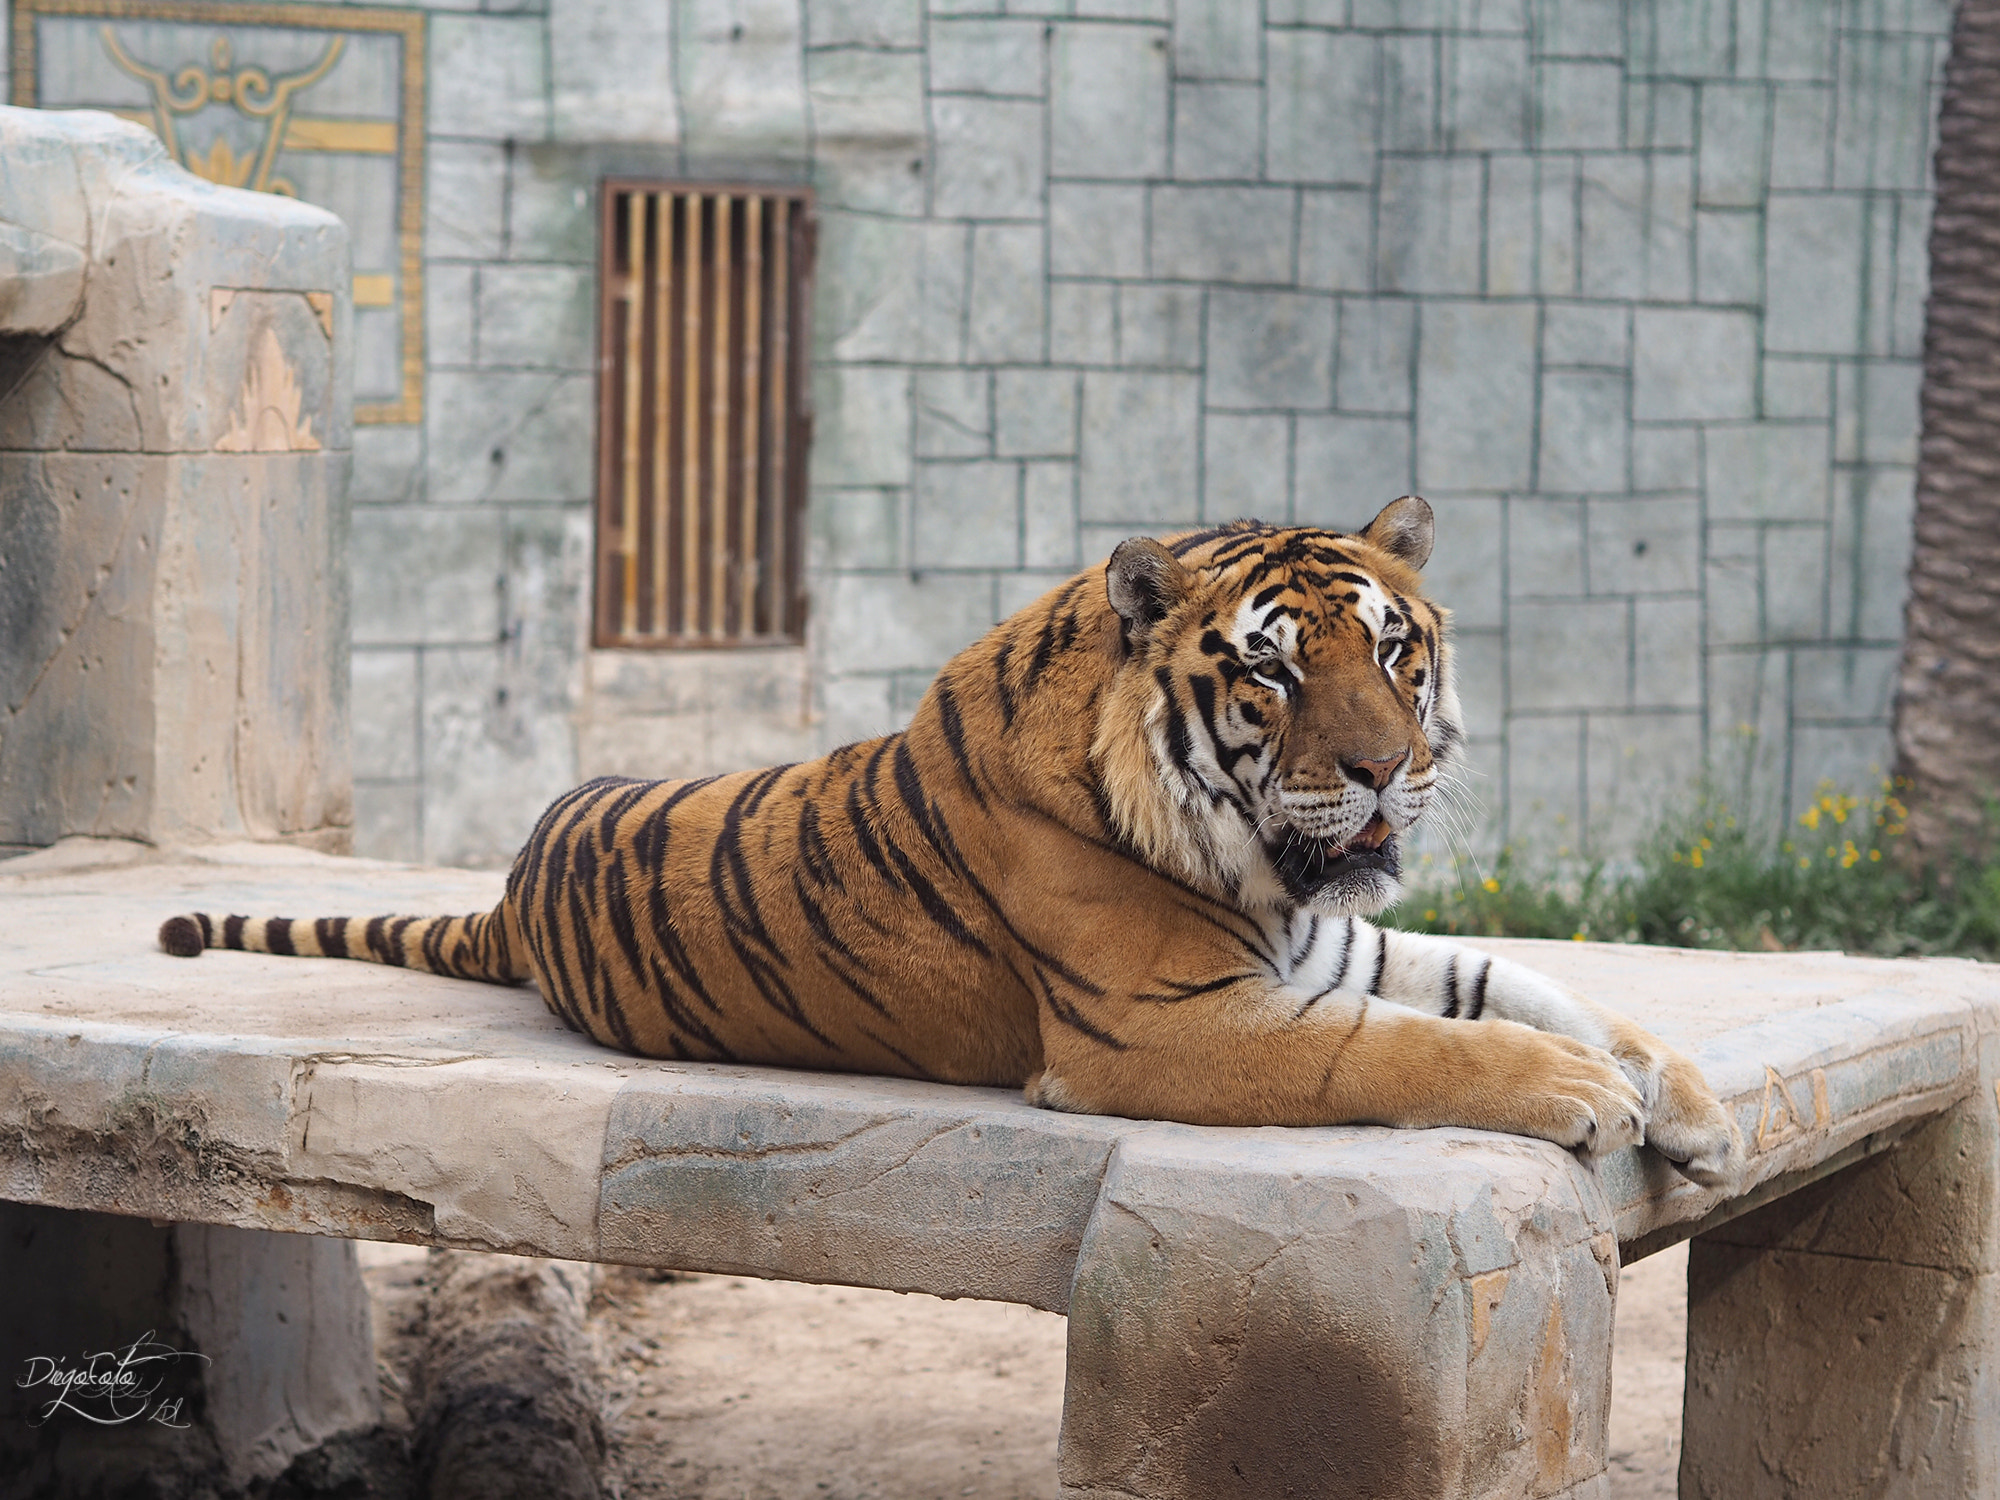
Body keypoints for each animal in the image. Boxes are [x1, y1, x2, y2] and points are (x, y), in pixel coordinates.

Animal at [164, 502, 1744, 1184]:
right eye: (1273, 671)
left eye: (1394, 650)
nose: (1384, 770)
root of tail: (516, 869)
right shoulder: (1167, 1026)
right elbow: (1413, 1050)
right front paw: (1579, 1095)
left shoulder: (1327, 942)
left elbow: (1530, 986)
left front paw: (1687, 1102)